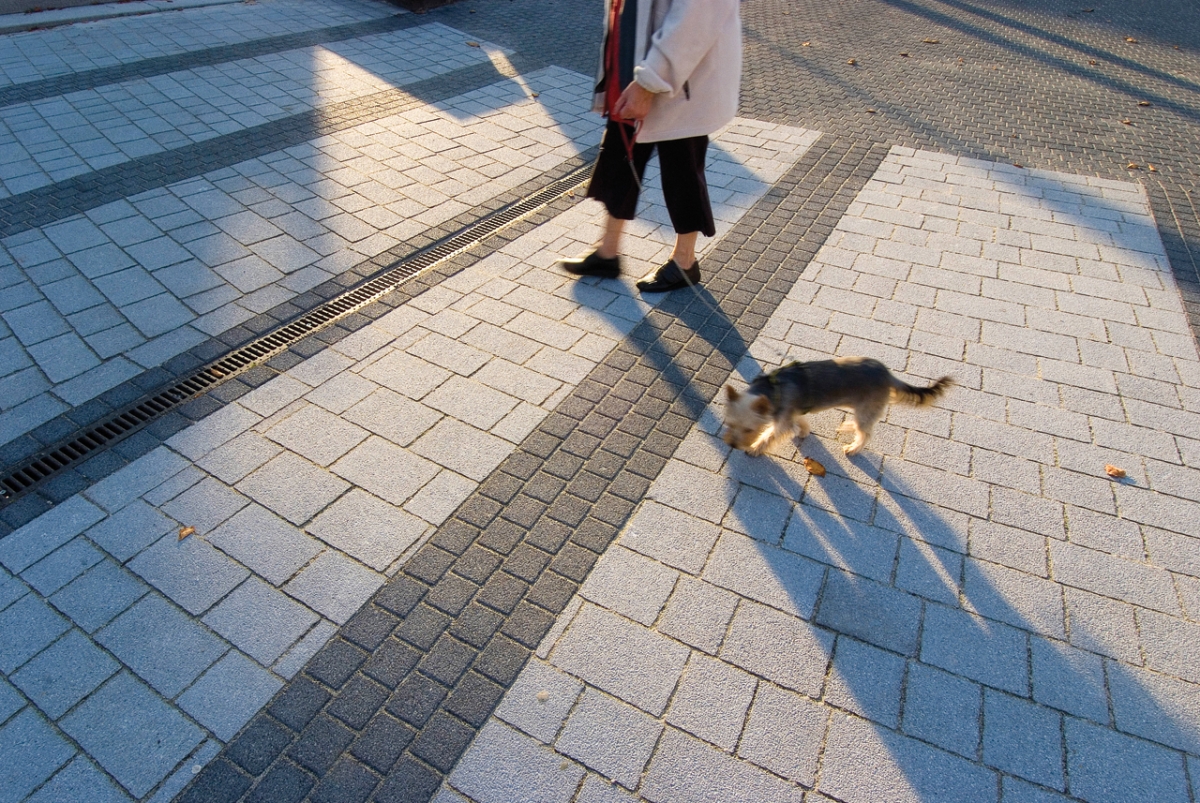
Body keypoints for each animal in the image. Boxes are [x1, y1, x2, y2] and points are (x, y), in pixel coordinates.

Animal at [720, 357, 955, 456]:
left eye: (749, 430)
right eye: (729, 424)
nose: (732, 444)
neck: (771, 389)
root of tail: (888, 375)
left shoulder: (782, 420)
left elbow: (768, 436)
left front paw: (754, 449)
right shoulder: (793, 412)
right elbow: (801, 422)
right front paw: (804, 431)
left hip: (867, 407)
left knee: (866, 432)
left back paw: (853, 448)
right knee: (863, 426)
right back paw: (848, 427)